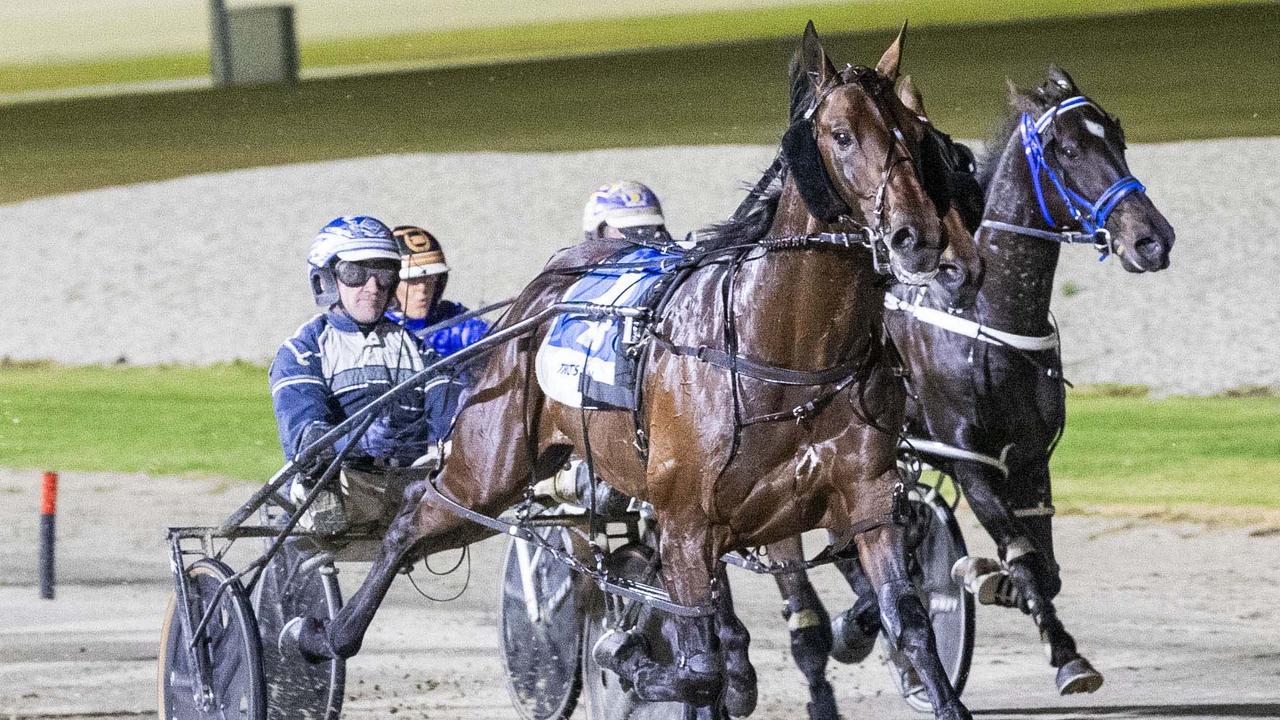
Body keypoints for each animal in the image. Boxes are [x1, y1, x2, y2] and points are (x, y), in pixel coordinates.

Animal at [282, 22, 977, 717]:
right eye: (840, 135)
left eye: (916, 132)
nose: (918, 237)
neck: (787, 351)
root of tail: (552, 280)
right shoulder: (687, 525)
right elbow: (699, 667)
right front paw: (630, 656)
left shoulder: (866, 502)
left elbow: (906, 620)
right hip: (490, 464)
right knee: (414, 516)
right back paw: (318, 635)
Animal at [762, 68, 1172, 717]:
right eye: (1067, 149)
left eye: (1119, 137)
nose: (1153, 240)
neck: (982, 315)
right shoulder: (968, 458)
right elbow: (1022, 556)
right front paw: (1060, 651)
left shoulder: (1028, 459)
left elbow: (1041, 565)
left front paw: (1001, 590)